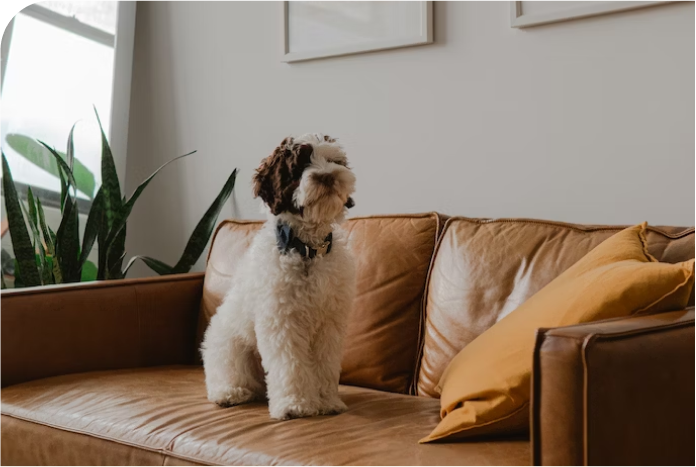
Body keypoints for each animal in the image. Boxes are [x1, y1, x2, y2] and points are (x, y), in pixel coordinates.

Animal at [200, 133, 354, 422]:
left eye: (333, 161)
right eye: (299, 166)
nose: (327, 177)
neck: (306, 250)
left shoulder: (330, 324)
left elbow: (325, 365)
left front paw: (327, 401)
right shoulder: (283, 321)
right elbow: (291, 365)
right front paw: (296, 405)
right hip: (230, 348)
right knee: (226, 376)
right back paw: (229, 393)